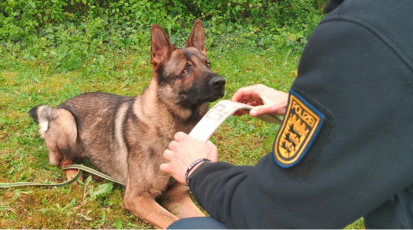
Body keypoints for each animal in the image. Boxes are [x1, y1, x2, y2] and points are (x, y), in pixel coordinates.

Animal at [28, 19, 225, 228]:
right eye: (186, 70)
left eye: (207, 64)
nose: (221, 82)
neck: (173, 128)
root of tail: (56, 109)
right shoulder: (137, 197)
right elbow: (170, 221)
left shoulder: (177, 196)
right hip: (67, 121)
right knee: (65, 162)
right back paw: (76, 176)